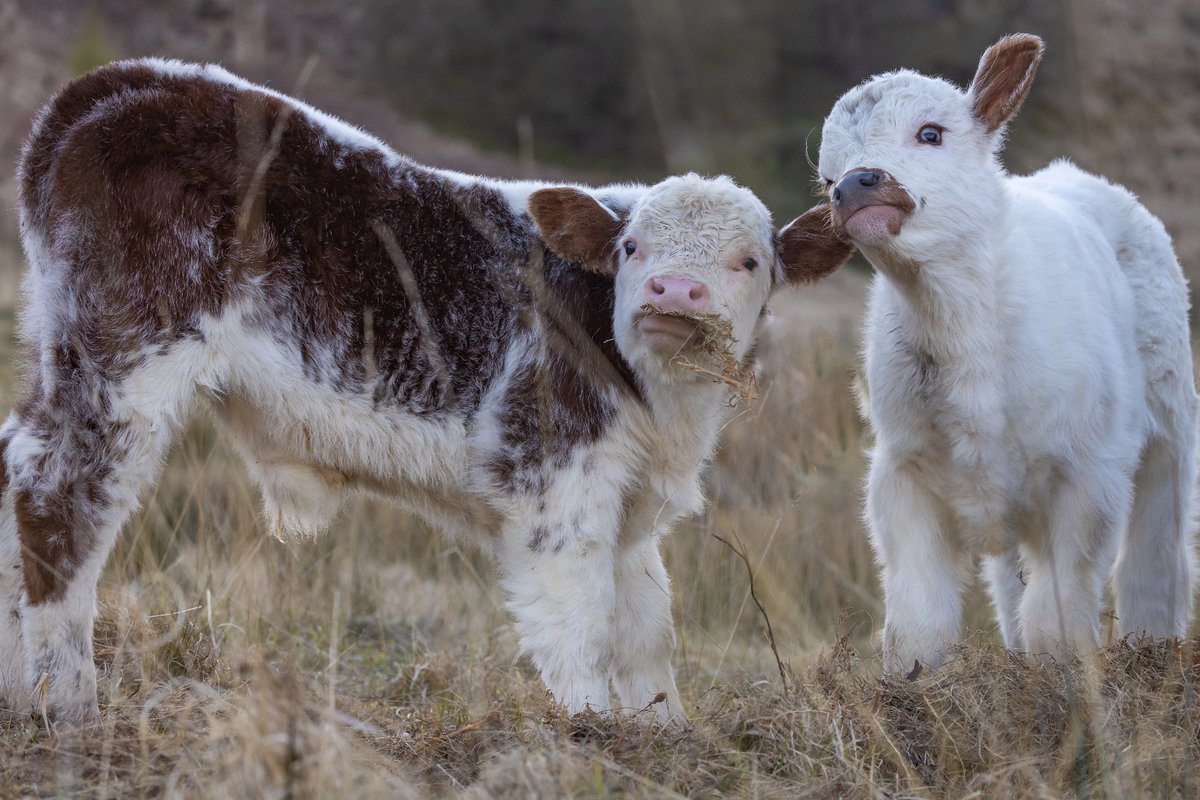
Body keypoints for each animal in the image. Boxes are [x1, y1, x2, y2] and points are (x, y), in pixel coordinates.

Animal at [0, 59, 854, 724]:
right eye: (632, 247)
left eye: (750, 261)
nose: (674, 292)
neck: (666, 407)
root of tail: (122, 83)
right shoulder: (552, 479)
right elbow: (580, 620)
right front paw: (590, 731)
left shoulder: (634, 503)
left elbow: (647, 626)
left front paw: (663, 731)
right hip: (122, 363)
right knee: (59, 496)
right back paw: (66, 704)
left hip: (62, 345)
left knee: (16, 469)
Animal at [816, 32, 1200, 671]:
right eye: (826, 179)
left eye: (930, 133)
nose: (854, 185)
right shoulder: (902, 472)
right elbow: (918, 612)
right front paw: (916, 677)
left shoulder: (1087, 474)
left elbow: (1059, 605)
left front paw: (1061, 674)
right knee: (1009, 581)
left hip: (1169, 422)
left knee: (1155, 551)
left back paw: (1152, 646)